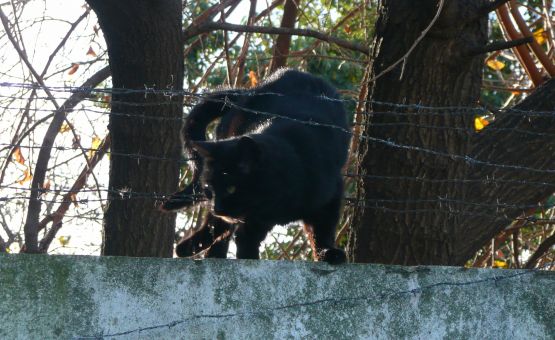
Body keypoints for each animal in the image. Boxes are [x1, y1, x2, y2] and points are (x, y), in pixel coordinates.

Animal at [163, 69, 350, 264]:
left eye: (231, 188)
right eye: (209, 189)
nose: (217, 207)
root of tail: (249, 91)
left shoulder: (330, 196)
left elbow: (323, 229)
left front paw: (327, 252)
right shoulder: (255, 217)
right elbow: (241, 236)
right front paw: (248, 258)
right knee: (219, 227)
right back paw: (196, 249)